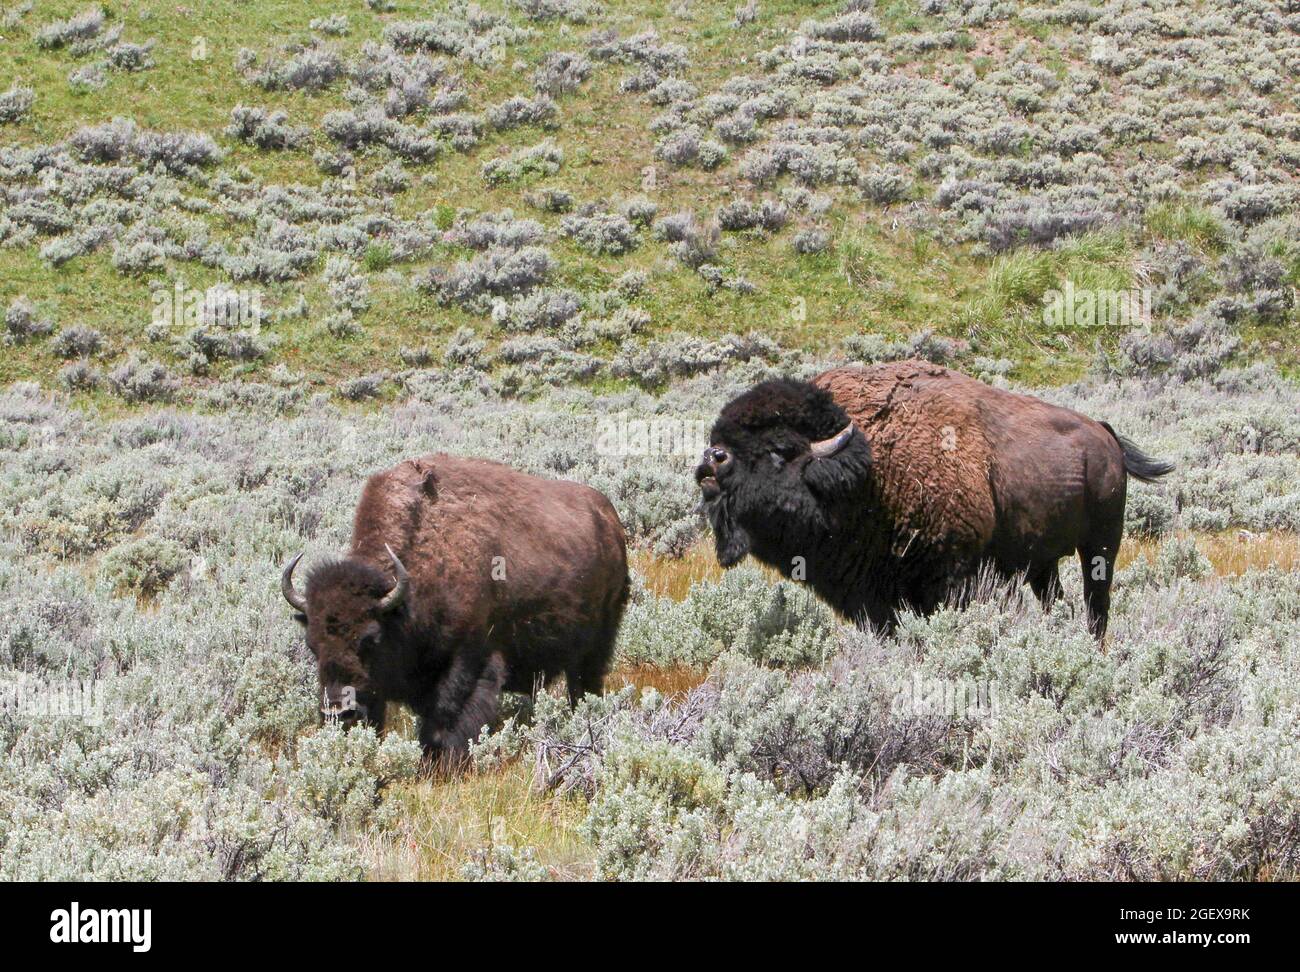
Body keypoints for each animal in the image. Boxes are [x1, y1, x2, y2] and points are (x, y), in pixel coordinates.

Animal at [280, 452, 629, 764]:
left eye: (370, 640)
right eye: (312, 645)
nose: (340, 712)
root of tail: (609, 518)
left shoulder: (467, 662)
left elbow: (447, 720)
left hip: (597, 644)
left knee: (584, 683)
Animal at [702, 361, 1180, 641]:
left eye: (780, 449)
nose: (711, 460)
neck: (870, 470)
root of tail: (1104, 434)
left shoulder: (952, 580)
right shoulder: (876, 600)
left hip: (1101, 546)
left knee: (1097, 603)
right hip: (1043, 563)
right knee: (1055, 599)